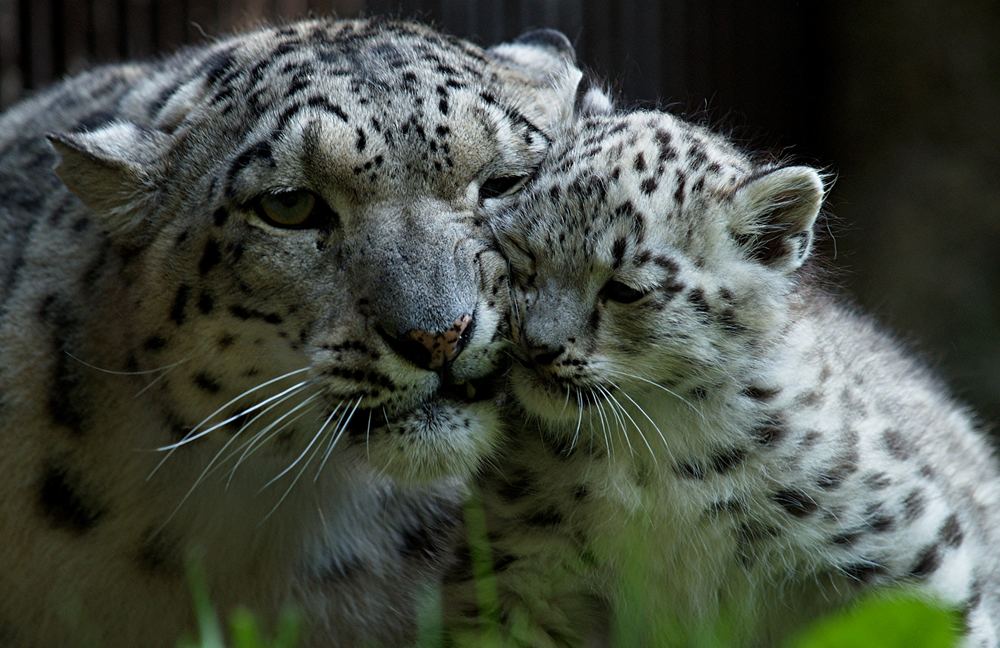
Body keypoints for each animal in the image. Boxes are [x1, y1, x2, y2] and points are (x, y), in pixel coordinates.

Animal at [446, 109, 1000, 644]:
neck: (648, 459)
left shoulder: (901, 548)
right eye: (521, 253)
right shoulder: (523, 571)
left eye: (624, 289)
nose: (537, 346)